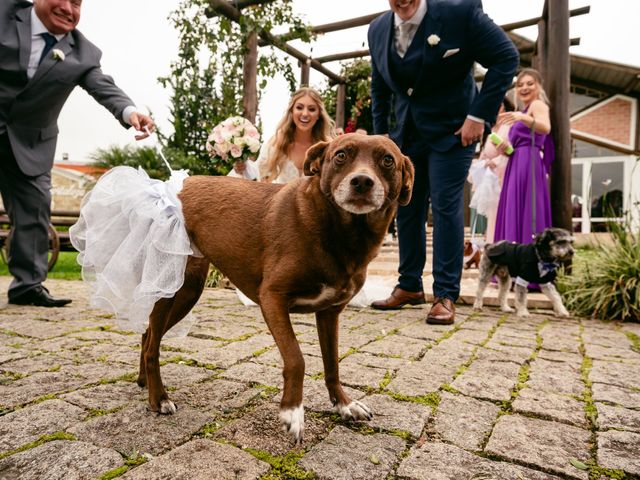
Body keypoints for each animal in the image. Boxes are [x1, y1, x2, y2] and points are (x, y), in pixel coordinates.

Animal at [136, 135, 416, 442]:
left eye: (387, 160)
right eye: (341, 155)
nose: (362, 182)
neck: (341, 232)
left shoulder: (330, 313)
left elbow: (332, 363)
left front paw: (344, 404)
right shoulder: (272, 298)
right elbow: (296, 358)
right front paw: (292, 411)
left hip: (188, 291)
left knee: (149, 335)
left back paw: (143, 380)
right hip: (171, 286)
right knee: (152, 344)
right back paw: (159, 398)